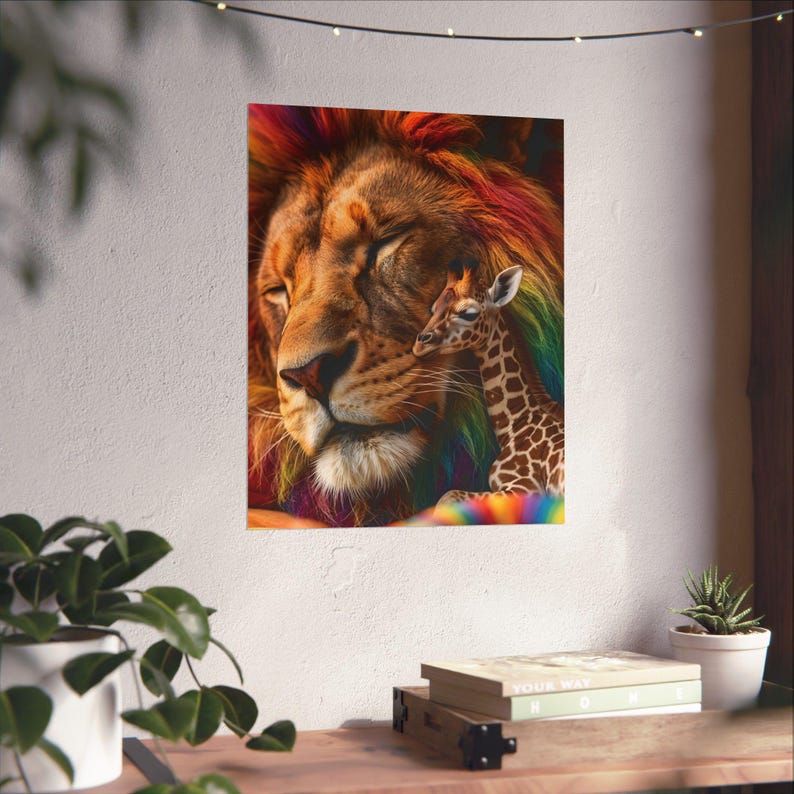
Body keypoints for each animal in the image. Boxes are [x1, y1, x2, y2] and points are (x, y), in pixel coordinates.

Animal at [413, 263, 564, 504]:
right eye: (434, 308)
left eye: (468, 313)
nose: (419, 345)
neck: (516, 425)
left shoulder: (525, 488)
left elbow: (447, 495)